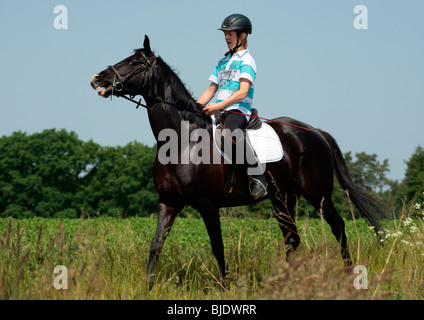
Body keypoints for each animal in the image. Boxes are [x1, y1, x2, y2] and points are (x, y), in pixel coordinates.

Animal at [91, 36, 386, 286]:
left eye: (134, 62)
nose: (98, 79)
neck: (182, 142)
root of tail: (315, 132)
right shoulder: (168, 202)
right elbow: (155, 245)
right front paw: (148, 287)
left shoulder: (207, 204)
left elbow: (217, 247)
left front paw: (225, 285)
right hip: (283, 197)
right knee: (292, 237)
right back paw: (283, 281)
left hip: (317, 193)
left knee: (338, 226)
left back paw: (349, 275)